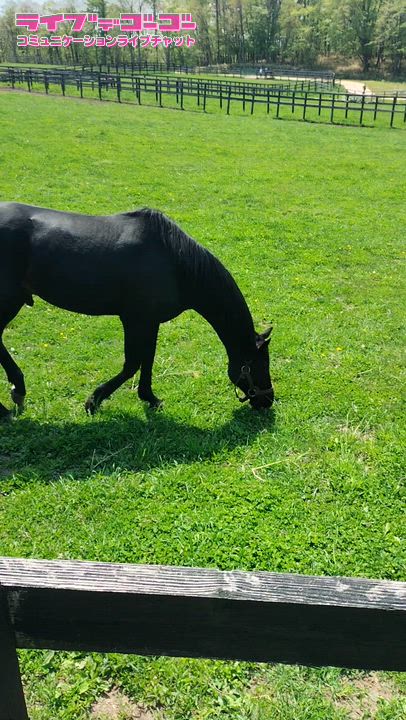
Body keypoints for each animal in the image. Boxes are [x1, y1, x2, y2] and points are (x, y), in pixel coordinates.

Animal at [0, 202, 274, 420]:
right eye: (259, 364)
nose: (268, 400)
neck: (174, 261)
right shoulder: (135, 320)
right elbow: (132, 364)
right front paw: (93, 401)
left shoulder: (151, 321)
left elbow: (147, 360)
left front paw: (149, 397)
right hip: (8, 301)